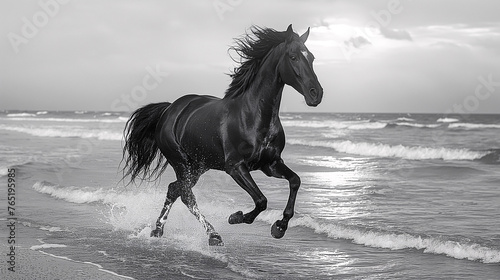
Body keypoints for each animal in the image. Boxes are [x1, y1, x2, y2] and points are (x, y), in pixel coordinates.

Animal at [123, 25, 322, 246]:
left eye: (312, 57)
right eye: (293, 56)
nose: (316, 94)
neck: (252, 115)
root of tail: (169, 109)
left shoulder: (270, 164)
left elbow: (295, 181)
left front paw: (279, 227)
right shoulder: (235, 167)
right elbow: (261, 200)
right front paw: (236, 217)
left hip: (198, 166)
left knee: (175, 190)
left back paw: (158, 230)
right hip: (182, 164)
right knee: (186, 195)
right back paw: (213, 235)